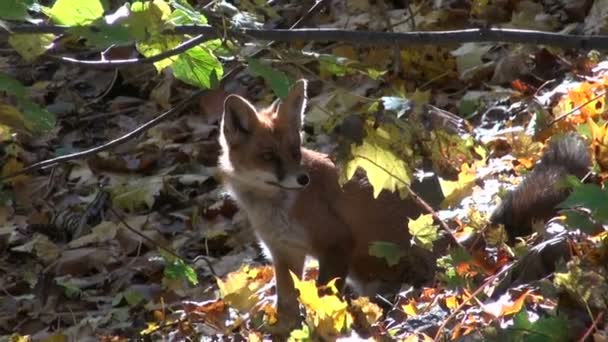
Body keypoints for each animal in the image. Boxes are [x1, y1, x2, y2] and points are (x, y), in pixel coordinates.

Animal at [218, 79, 436, 334]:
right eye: (268, 156)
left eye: (295, 151)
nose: (303, 179)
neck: (278, 209)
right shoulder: (284, 252)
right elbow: (287, 305)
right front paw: (288, 332)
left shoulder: (336, 243)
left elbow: (323, 299)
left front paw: (322, 329)